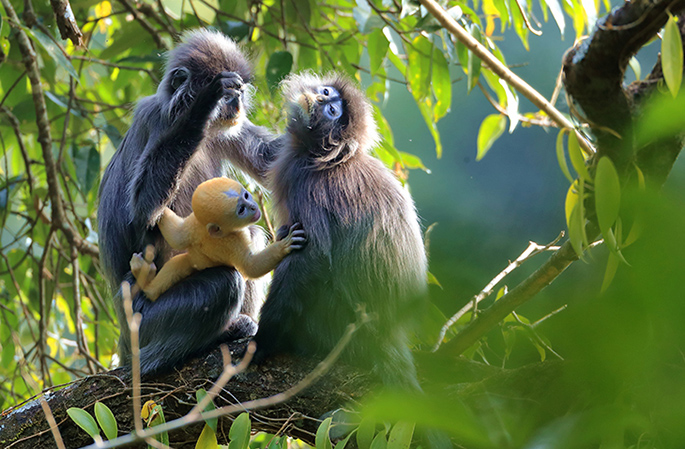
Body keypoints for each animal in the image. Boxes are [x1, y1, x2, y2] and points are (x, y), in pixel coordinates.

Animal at [97, 28, 280, 374]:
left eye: (240, 92)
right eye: (230, 93)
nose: (236, 101)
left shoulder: (228, 130)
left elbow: (273, 159)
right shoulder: (154, 119)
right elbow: (143, 212)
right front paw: (203, 104)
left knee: (248, 234)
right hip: (144, 319)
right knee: (225, 282)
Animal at [132, 177, 304, 300]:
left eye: (246, 196)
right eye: (241, 210)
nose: (253, 207)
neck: (216, 232)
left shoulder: (195, 224)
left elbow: (177, 236)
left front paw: (157, 210)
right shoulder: (235, 239)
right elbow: (251, 267)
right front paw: (284, 246)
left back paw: (146, 283)